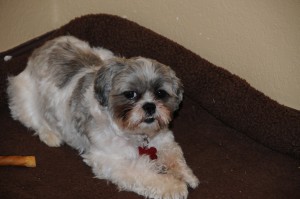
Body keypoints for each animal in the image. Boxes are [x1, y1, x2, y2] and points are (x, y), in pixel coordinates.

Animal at [7, 35, 199, 199]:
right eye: (130, 94)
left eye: (160, 93)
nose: (150, 106)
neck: (135, 134)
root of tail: (42, 47)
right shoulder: (111, 160)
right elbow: (144, 173)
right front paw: (173, 186)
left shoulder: (164, 139)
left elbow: (174, 156)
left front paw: (186, 174)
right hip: (23, 96)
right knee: (34, 119)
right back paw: (50, 135)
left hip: (103, 53)